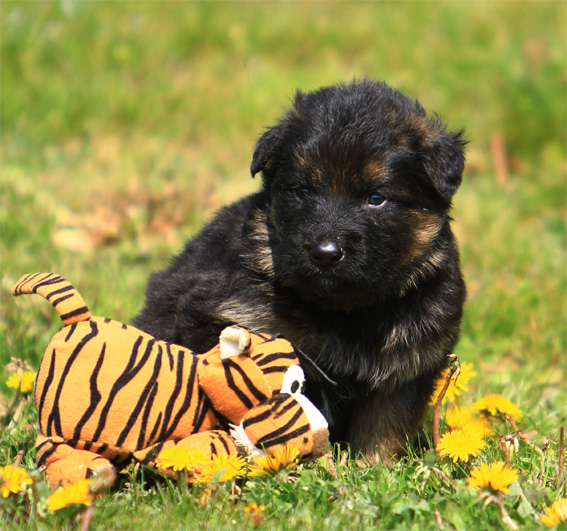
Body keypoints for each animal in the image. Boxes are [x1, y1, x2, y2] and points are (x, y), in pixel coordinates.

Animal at [134, 79, 467, 463]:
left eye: (376, 198)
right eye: (303, 190)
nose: (325, 253)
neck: (346, 310)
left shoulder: (409, 363)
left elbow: (383, 428)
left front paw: (372, 468)